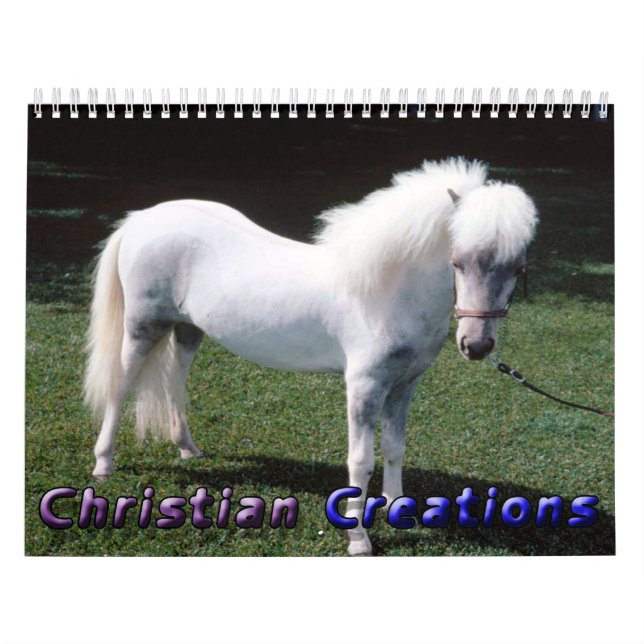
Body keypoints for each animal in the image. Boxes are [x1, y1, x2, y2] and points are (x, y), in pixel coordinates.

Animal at [83, 157, 538, 555]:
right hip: (142, 328)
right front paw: (358, 539)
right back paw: (103, 464)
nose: (476, 346)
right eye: (457, 262)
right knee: (120, 387)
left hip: (187, 330)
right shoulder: (364, 386)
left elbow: (395, 448)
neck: (387, 291)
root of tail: (143, 218)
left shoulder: (404, 385)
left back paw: (188, 449)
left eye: (518, 269)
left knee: (176, 379)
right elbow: (361, 460)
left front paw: (399, 514)